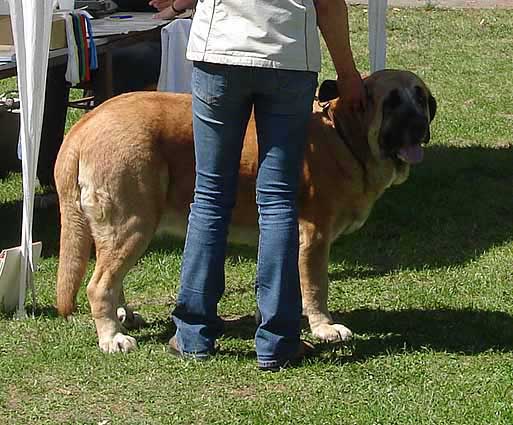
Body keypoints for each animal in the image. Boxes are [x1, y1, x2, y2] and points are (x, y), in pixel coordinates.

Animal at [55, 69, 436, 352]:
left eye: (420, 97)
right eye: (391, 102)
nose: (420, 125)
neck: (344, 134)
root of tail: (85, 124)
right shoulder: (313, 237)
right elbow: (316, 287)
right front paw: (324, 328)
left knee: (111, 276)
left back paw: (125, 316)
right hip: (133, 224)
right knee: (99, 284)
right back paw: (112, 337)